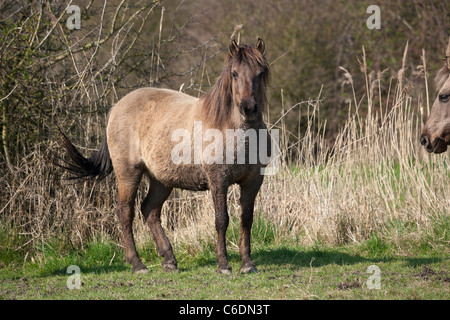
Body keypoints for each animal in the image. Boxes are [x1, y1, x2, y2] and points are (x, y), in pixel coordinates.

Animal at [52, 37, 270, 272]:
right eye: (234, 73)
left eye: (260, 73)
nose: (249, 108)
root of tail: (116, 107)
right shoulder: (218, 180)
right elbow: (222, 219)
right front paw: (224, 265)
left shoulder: (253, 181)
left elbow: (246, 219)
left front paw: (248, 264)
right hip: (128, 173)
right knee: (125, 212)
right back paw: (137, 263)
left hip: (161, 180)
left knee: (150, 210)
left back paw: (169, 260)